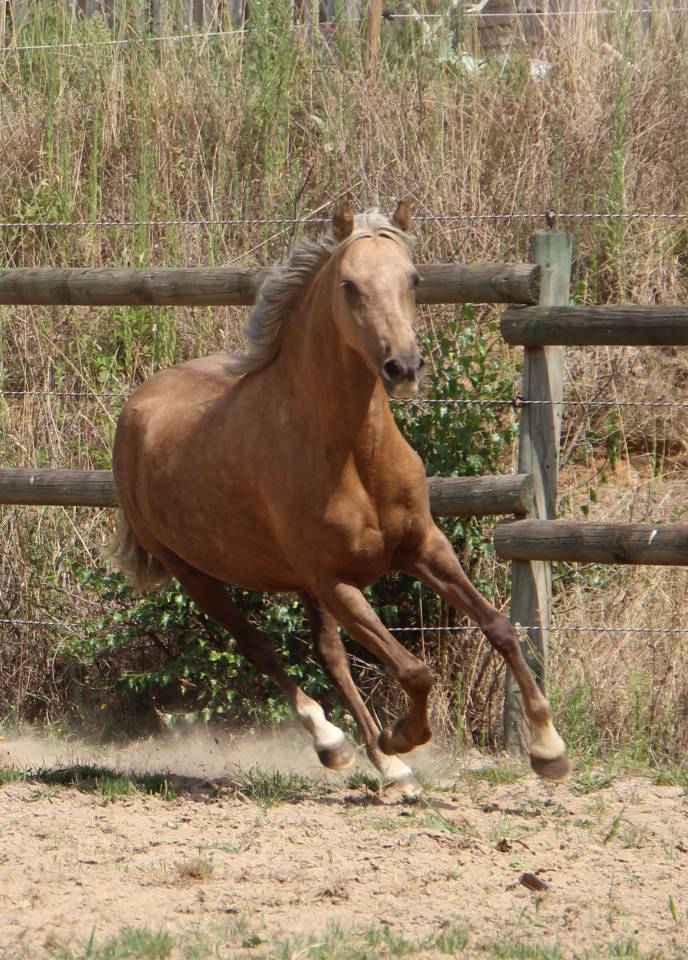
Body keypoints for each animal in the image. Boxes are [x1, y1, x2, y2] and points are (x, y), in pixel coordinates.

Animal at [111, 202, 569, 794]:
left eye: (413, 279)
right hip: (195, 574)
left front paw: (548, 748)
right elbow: (414, 670)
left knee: (329, 656)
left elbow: (501, 628)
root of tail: (136, 406)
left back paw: (389, 768)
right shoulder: (336, 580)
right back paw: (338, 743)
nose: (404, 367)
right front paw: (401, 736)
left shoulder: (423, 548)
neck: (354, 452)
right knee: (260, 648)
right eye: (350, 286)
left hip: (302, 585)